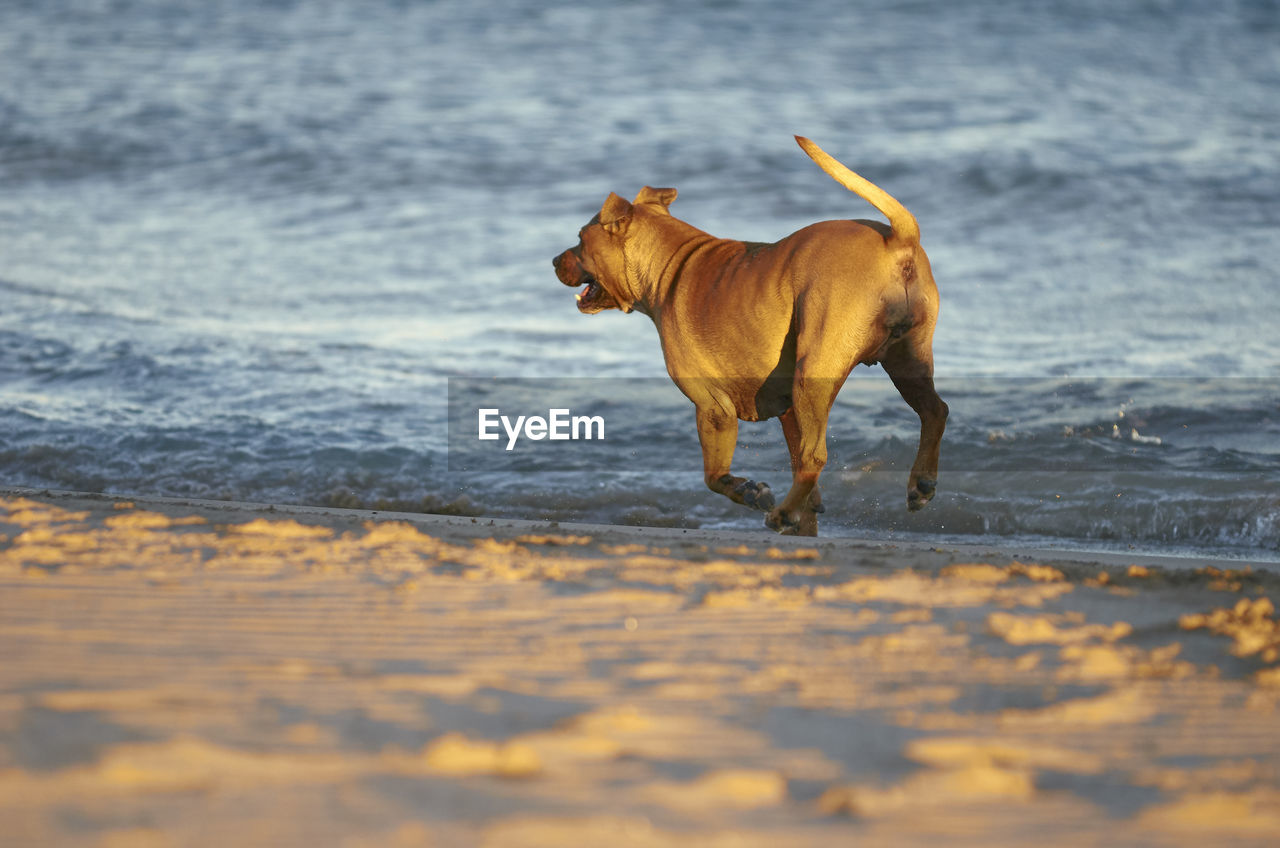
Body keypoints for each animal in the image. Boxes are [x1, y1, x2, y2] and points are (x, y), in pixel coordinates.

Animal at [545, 137, 947, 538]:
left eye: (580, 239)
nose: (553, 260)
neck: (670, 264)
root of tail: (897, 241)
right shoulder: (787, 409)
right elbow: (799, 469)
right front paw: (804, 518)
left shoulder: (713, 408)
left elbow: (714, 476)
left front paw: (750, 492)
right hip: (906, 362)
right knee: (934, 411)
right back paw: (921, 483)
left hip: (813, 374)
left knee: (816, 456)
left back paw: (782, 512)